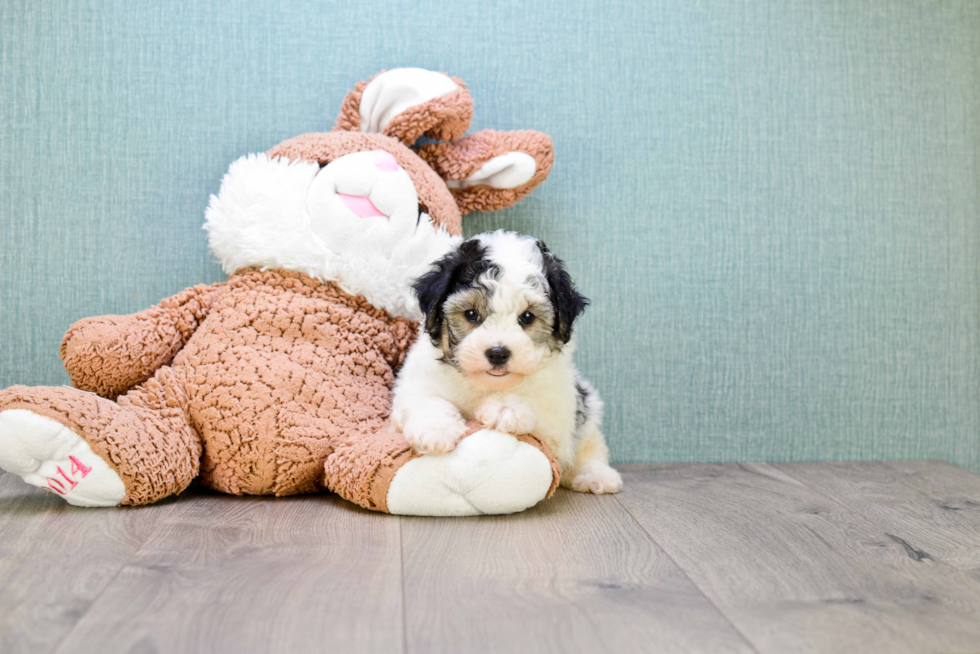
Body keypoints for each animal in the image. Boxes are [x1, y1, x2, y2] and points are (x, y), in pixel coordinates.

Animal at [388, 233, 620, 494]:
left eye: (527, 317)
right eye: (471, 314)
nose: (498, 353)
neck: (486, 384)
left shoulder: (557, 413)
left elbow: (537, 407)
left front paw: (505, 408)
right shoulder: (417, 381)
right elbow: (425, 399)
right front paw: (435, 431)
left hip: (588, 409)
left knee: (590, 447)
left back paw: (596, 475)